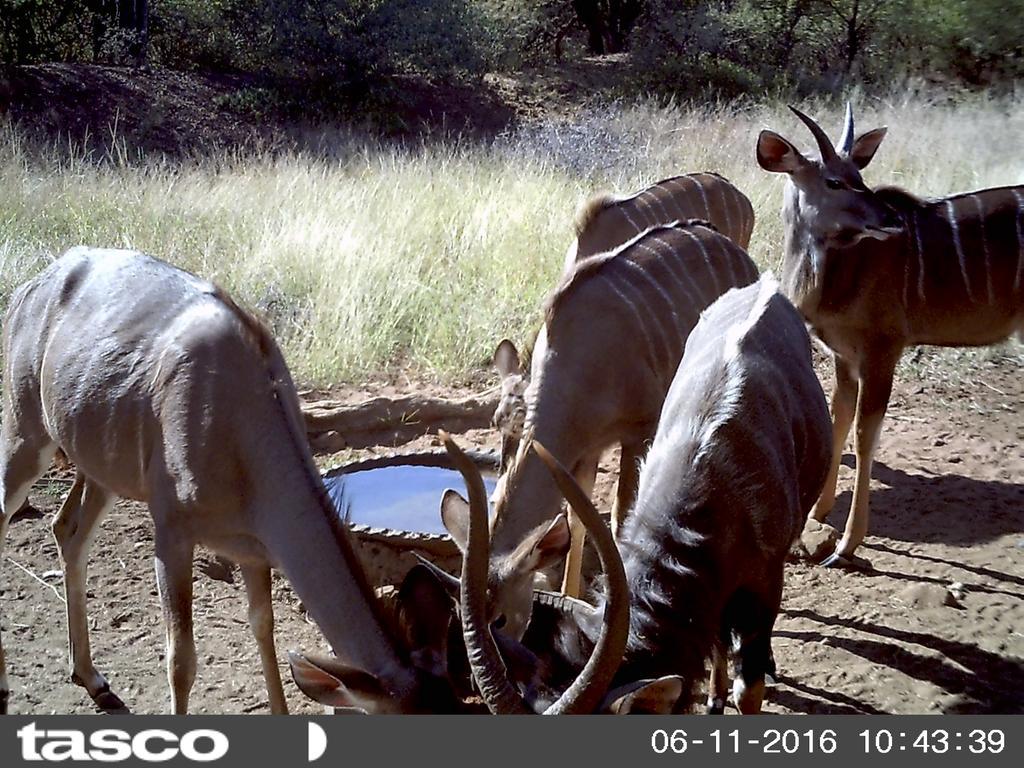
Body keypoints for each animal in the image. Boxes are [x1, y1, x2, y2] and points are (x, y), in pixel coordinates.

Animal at [0, 249, 491, 720]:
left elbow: (263, 626)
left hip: (101, 465)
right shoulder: (171, 527)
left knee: (68, 528)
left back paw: (93, 677)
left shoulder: (254, 547)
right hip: (27, 431)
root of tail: (29, 289)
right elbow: (181, 658)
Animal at [753, 105, 1024, 569]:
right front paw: (817, 514)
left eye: (859, 175)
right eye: (835, 181)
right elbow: (839, 416)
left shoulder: (883, 350)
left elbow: (865, 434)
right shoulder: (844, 355)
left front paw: (846, 546)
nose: (891, 220)